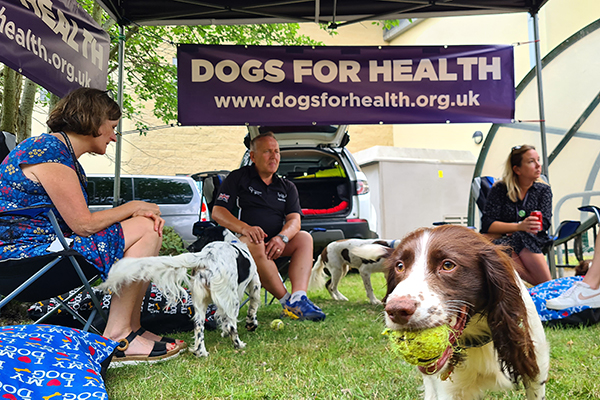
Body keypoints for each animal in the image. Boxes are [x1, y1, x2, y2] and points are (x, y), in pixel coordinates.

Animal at [99, 227, 262, 358]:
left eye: (202, 236)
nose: (190, 247)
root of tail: (207, 256)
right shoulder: (254, 283)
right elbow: (252, 306)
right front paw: (251, 324)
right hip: (231, 300)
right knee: (231, 326)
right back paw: (238, 345)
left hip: (200, 301)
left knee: (199, 326)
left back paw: (201, 352)